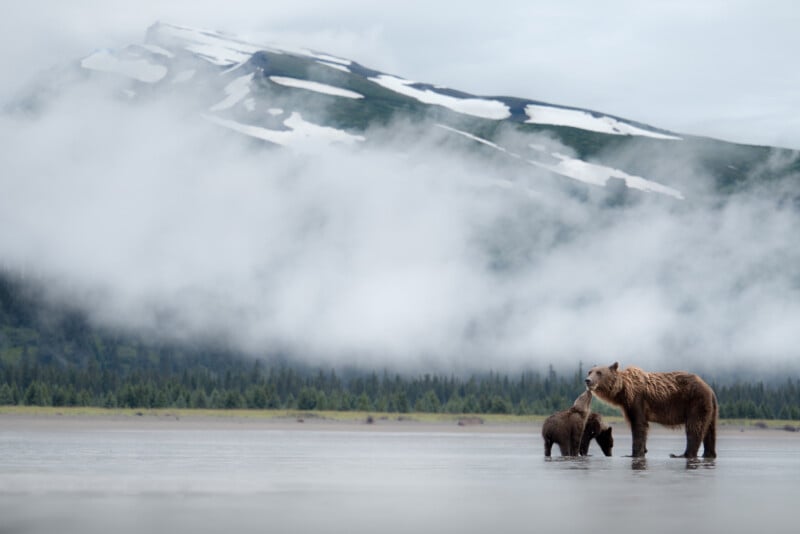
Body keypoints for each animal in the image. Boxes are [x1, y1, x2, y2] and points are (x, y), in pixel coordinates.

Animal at [585, 362, 717, 458]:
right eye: (590, 371)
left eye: (599, 372)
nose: (587, 380)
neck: (623, 391)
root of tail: (710, 389)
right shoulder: (628, 405)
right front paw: (644, 450)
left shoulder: (637, 400)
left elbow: (638, 425)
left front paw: (634, 454)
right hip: (710, 409)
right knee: (710, 430)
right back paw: (708, 454)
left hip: (696, 402)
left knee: (694, 427)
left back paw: (682, 455)